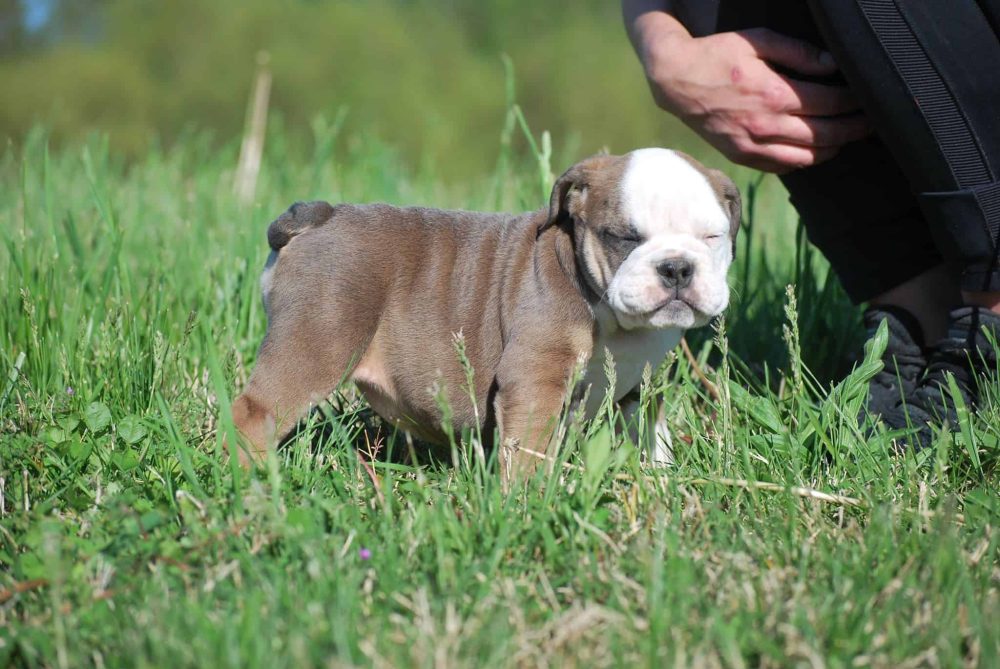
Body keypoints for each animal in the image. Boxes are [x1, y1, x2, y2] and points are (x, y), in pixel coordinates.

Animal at [230, 147, 740, 480]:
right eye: (625, 238)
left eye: (712, 237)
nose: (676, 267)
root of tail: (319, 216)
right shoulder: (535, 379)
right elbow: (530, 448)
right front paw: (528, 504)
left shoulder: (642, 385)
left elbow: (651, 429)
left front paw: (662, 478)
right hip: (316, 341)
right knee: (256, 413)